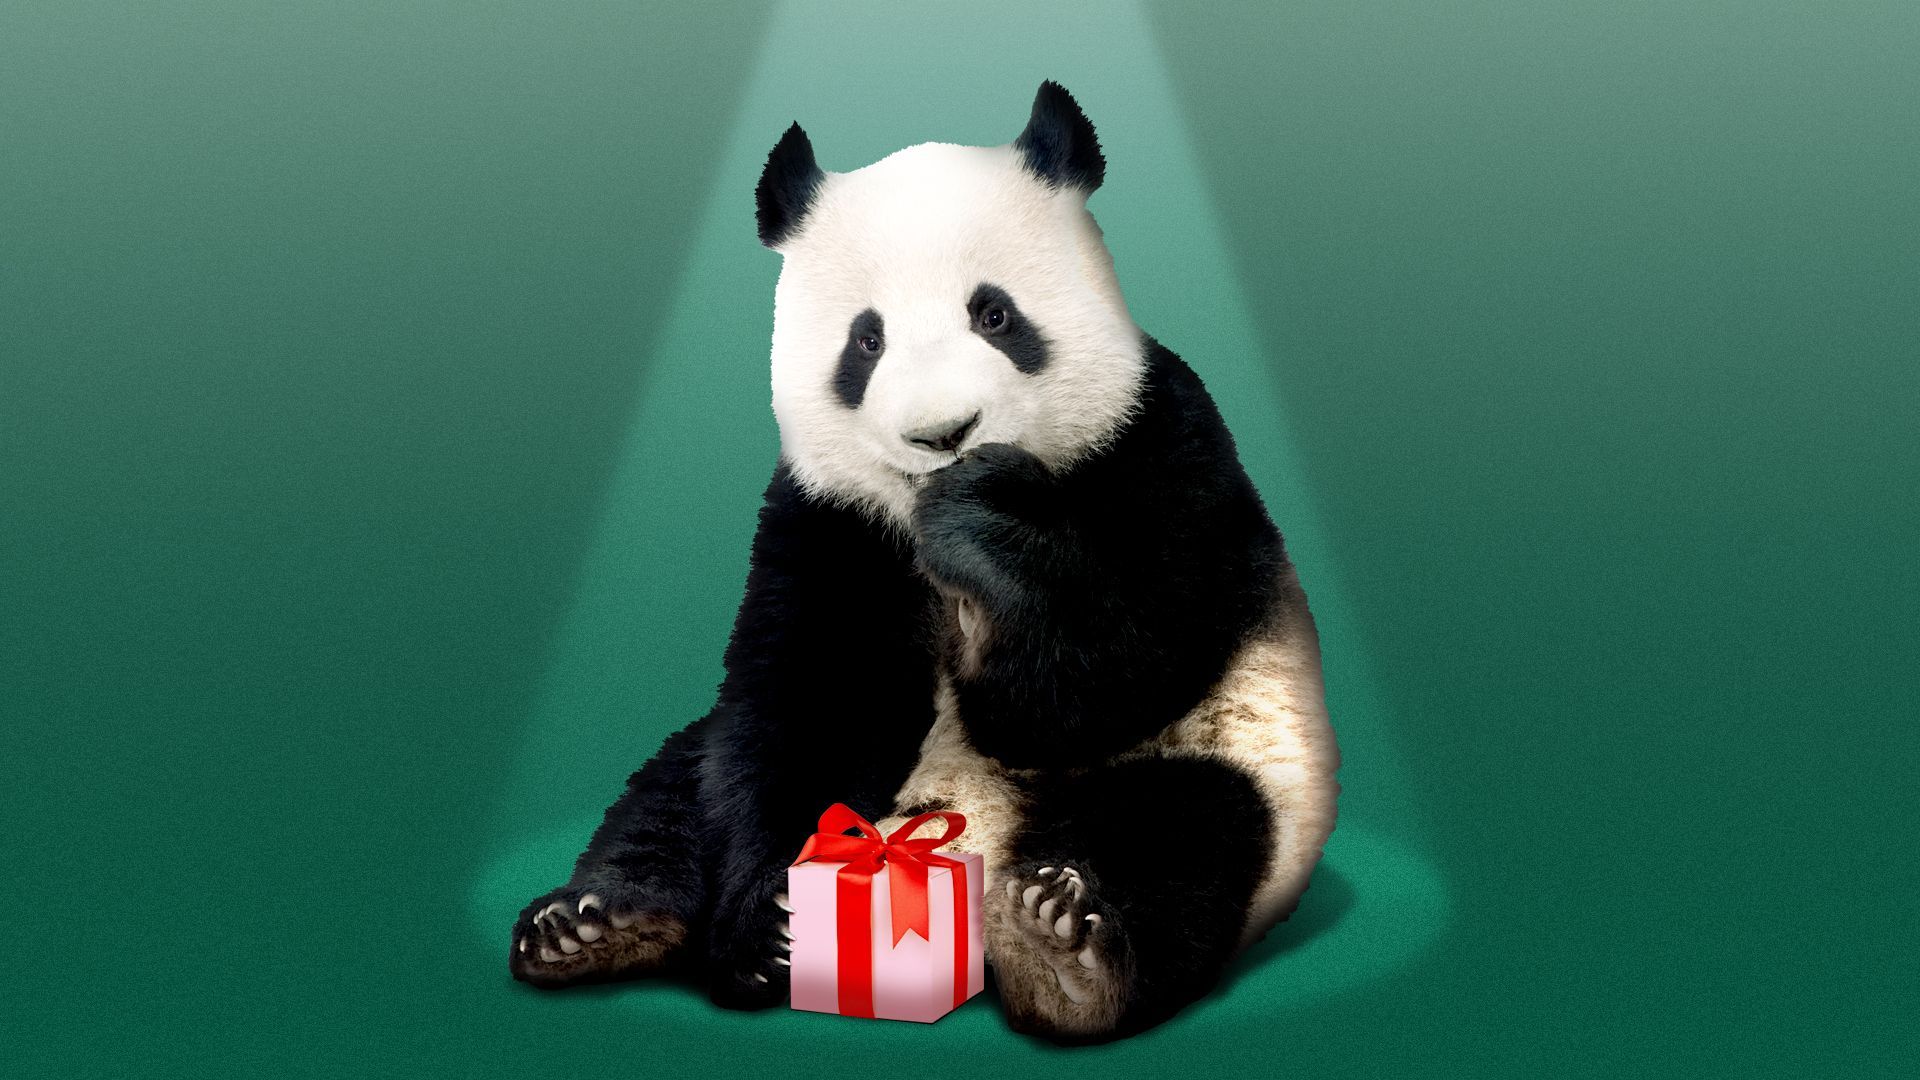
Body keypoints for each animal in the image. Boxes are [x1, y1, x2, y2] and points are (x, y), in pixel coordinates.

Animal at [508, 81, 1340, 1043]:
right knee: (674, 793)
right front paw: (771, 932)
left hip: (1241, 757)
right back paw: (597, 924)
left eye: (995, 315)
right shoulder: (831, 515)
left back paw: (1065, 950)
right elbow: (810, 698)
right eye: (865, 343)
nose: (943, 435)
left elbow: (1114, 672)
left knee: (1185, 832)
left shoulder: (1163, 442)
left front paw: (982, 532)